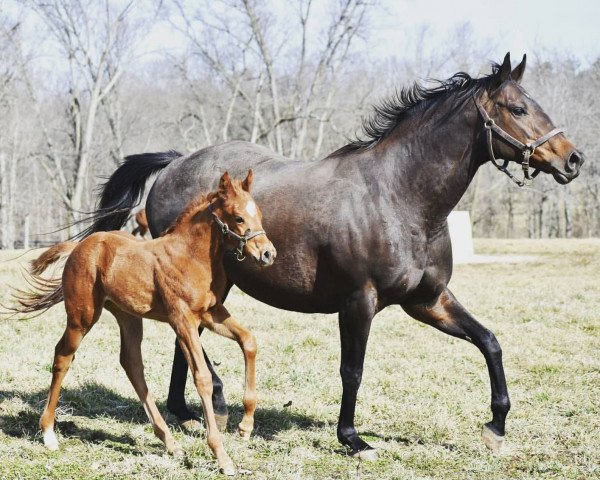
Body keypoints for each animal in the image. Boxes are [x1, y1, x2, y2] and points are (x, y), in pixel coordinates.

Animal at [14, 170, 276, 476]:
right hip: (82, 316)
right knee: (64, 356)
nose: (268, 254)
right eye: (238, 218)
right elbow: (202, 377)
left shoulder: (211, 312)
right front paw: (222, 456)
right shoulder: (182, 319)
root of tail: (81, 245)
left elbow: (249, 341)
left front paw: (246, 426)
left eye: (259, 214)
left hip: (128, 316)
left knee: (132, 363)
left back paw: (170, 442)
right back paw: (48, 433)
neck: (191, 256)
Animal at [78, 54, 580, 460]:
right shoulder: (359, 302)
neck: (399, 197)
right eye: (518, 109)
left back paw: (187, 410)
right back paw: (214, 401)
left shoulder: (428, 301)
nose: (572, 159)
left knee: (188, 340)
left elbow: (489, 341)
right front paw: (353, 439)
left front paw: (496, 426)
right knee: (188, 338)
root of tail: (176, 164)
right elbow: (352, 370)